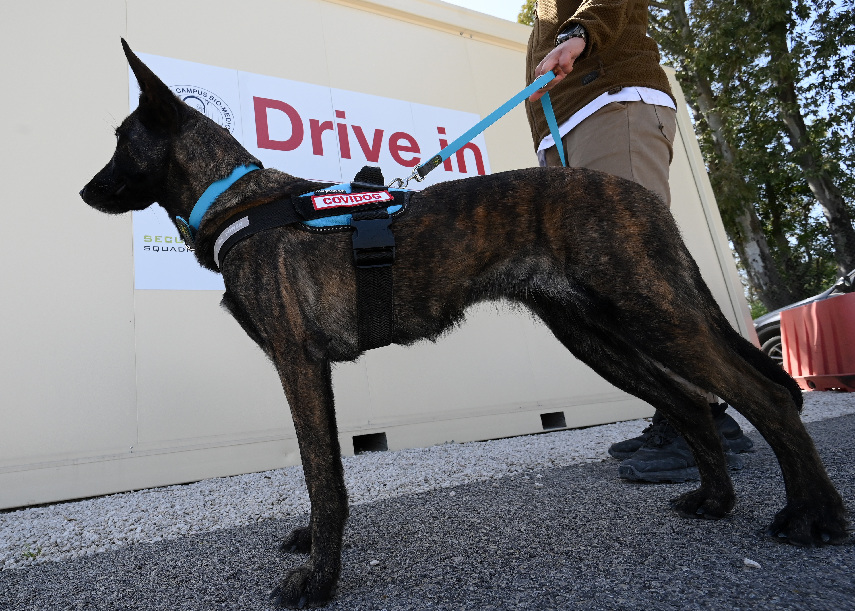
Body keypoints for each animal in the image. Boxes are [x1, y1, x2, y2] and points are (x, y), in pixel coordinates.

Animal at [81, 41, 847, 608]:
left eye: (120, 140)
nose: (85, 191)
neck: (238, 202)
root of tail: (631, 191)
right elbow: (321, 472)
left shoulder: (299, 364)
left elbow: (323, 474)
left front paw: (320, 578)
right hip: (596, 334)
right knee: (689, 400)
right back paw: (715, 500)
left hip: (650, 312)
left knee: (765, 394)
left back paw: (813, 516)